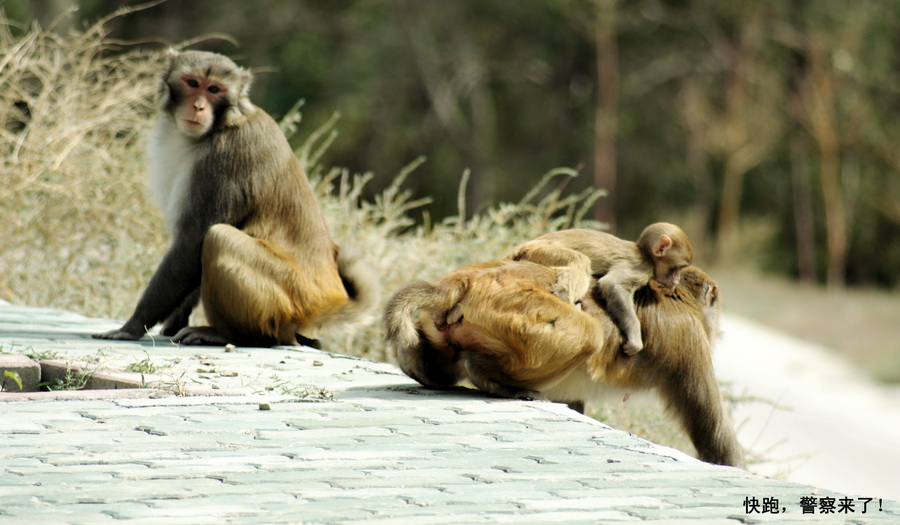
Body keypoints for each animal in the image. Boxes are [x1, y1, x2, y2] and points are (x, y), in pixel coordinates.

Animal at [96, 48, 378, 344]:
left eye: (214, 89)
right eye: (192, 83)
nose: (198, 107)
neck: (218, 127)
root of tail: (325, 302)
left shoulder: (223, 159)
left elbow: (192, 242)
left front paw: (132, 326)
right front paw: (173, 322)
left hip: (284, 304)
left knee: (219, 238)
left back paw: (233, 336)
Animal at [384, 262, 740, 466]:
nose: (719, 327)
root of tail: (465, 280)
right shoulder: (690, 338)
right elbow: (710, 429)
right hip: (518, 308)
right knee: (590, 333)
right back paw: (495, 381)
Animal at [506, 223, 696, 354]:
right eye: (679, 268)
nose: (676, 280)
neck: (645, 254)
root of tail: (520, 247)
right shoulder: (640, 268)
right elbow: (612, 285)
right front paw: (635, 338)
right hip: (541, 251)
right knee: (581, 261)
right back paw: (565, 298)